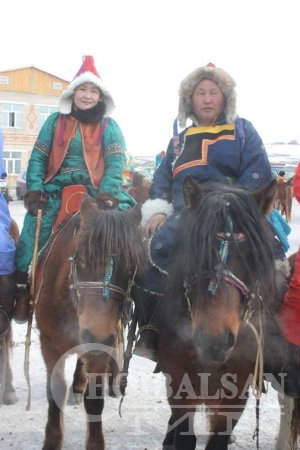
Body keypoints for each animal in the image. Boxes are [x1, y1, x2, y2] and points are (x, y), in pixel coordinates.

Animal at [34, 196, 145, 450]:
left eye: (130, 267)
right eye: (82, 259)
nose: (95, 335)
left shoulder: (100, 345)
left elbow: (94, 399)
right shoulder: (49, 343)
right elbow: (55, 388)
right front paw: (52, 440)